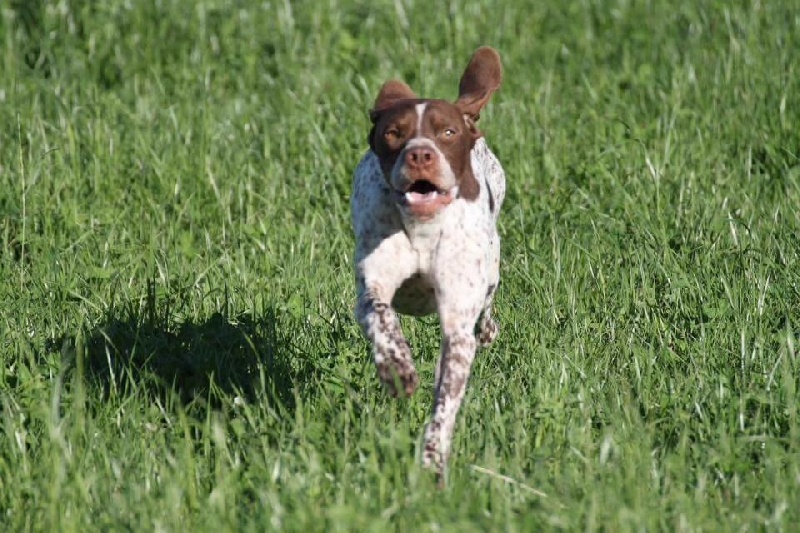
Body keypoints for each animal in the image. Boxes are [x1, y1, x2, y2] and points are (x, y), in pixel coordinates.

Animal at [352, 45, 506, 478]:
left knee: (488, 307)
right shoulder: (370, 289)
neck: (423, 228)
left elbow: (445, 402)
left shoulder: (457, 328)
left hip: (490, 266)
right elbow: (381, 317)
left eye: (447, 132)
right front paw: (396, 367)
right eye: (394, 132)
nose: (420, 154)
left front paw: (432, 458)